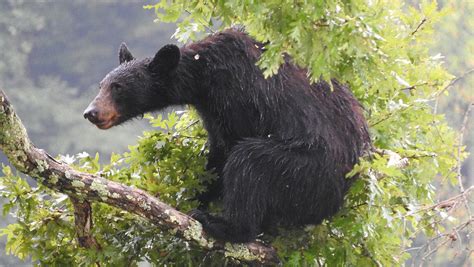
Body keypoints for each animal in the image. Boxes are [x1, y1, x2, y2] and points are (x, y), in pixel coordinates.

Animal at [86, 28, 374, 243]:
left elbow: (232, 145)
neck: (203, 75)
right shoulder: (212, 109)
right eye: (101, 85)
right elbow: (217, 152)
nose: (91, 112)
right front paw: (194, 193)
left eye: (118, 87)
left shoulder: (238, 95)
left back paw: (225, 225)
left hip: (308, 169)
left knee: (250, 160)